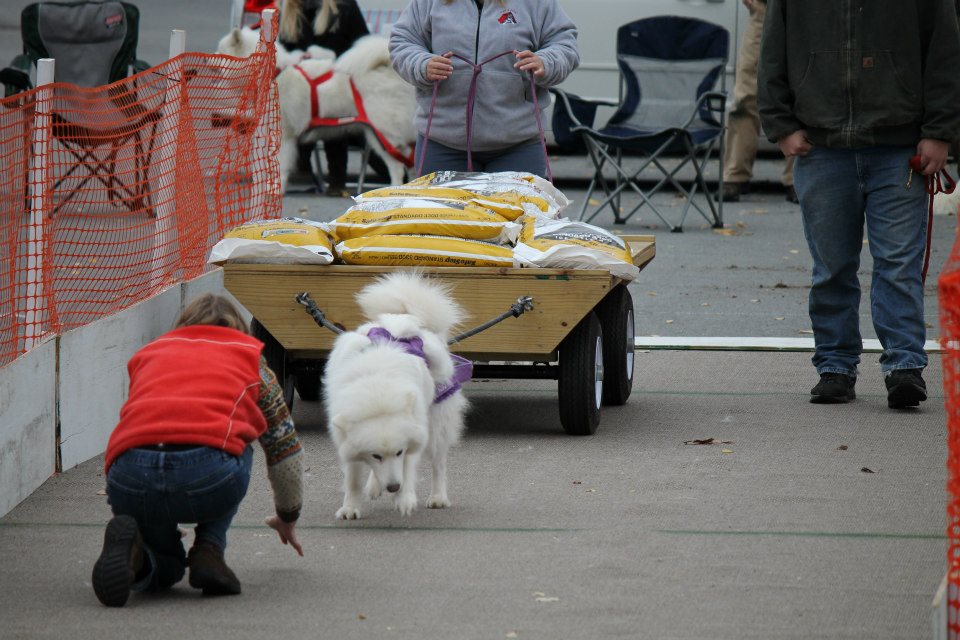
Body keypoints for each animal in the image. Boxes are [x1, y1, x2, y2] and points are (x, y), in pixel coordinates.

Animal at [216, 27, 414, 191]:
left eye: (220, 51)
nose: (210, 55)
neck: (273, 75)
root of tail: (389, 70)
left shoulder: (285, 136)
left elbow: (281, 167)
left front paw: (277, 190)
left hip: (383, 134)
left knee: (398, 167)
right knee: (410, 162)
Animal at [324, 272, 470, 520]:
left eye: (400, 452)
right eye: (376, 456)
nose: (393, 487)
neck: (377, 394)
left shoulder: (414, 437)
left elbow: (409, 469)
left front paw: (405, 499)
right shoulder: (347, 440)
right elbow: (353, 478)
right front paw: (351, 508)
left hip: (437, 427)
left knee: (439, 465)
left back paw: (438, 498)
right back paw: (375, 486)